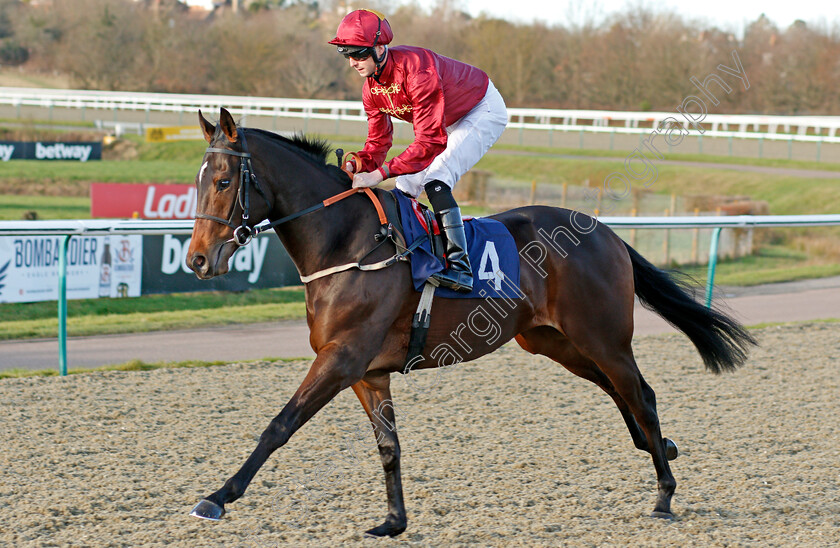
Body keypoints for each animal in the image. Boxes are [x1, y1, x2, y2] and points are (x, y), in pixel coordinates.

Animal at [184, 109, 756, 536]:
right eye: (197, 182)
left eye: (224, 180)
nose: (197, 260)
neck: (348, 244)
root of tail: (605, 231)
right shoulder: (368, 372)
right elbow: (389, 446)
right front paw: (393, 521)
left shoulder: (341, 359)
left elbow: (280, 425)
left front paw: (217, 497)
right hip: (554, 342)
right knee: (622, 392)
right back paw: (662, 448)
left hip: (603, 337)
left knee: (641, 394)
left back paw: (664, 494)